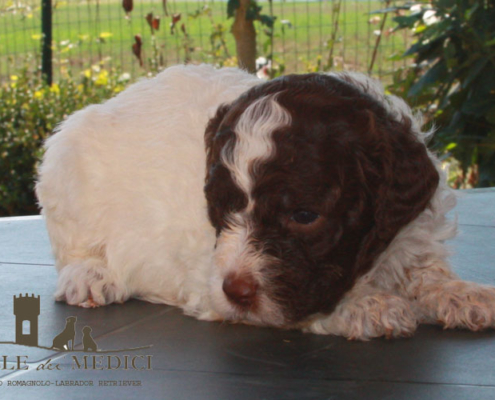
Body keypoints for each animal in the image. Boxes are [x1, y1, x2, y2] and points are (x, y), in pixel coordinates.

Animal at [36, 64, 495, 340]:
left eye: (304, 215)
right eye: (221, 208)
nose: (237, 292)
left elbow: (425, 270)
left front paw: (460, 294)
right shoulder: (210, 281)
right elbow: (301, 307)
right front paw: (367, 306)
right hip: (63, 164)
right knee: (70, 249)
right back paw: (90, 275)